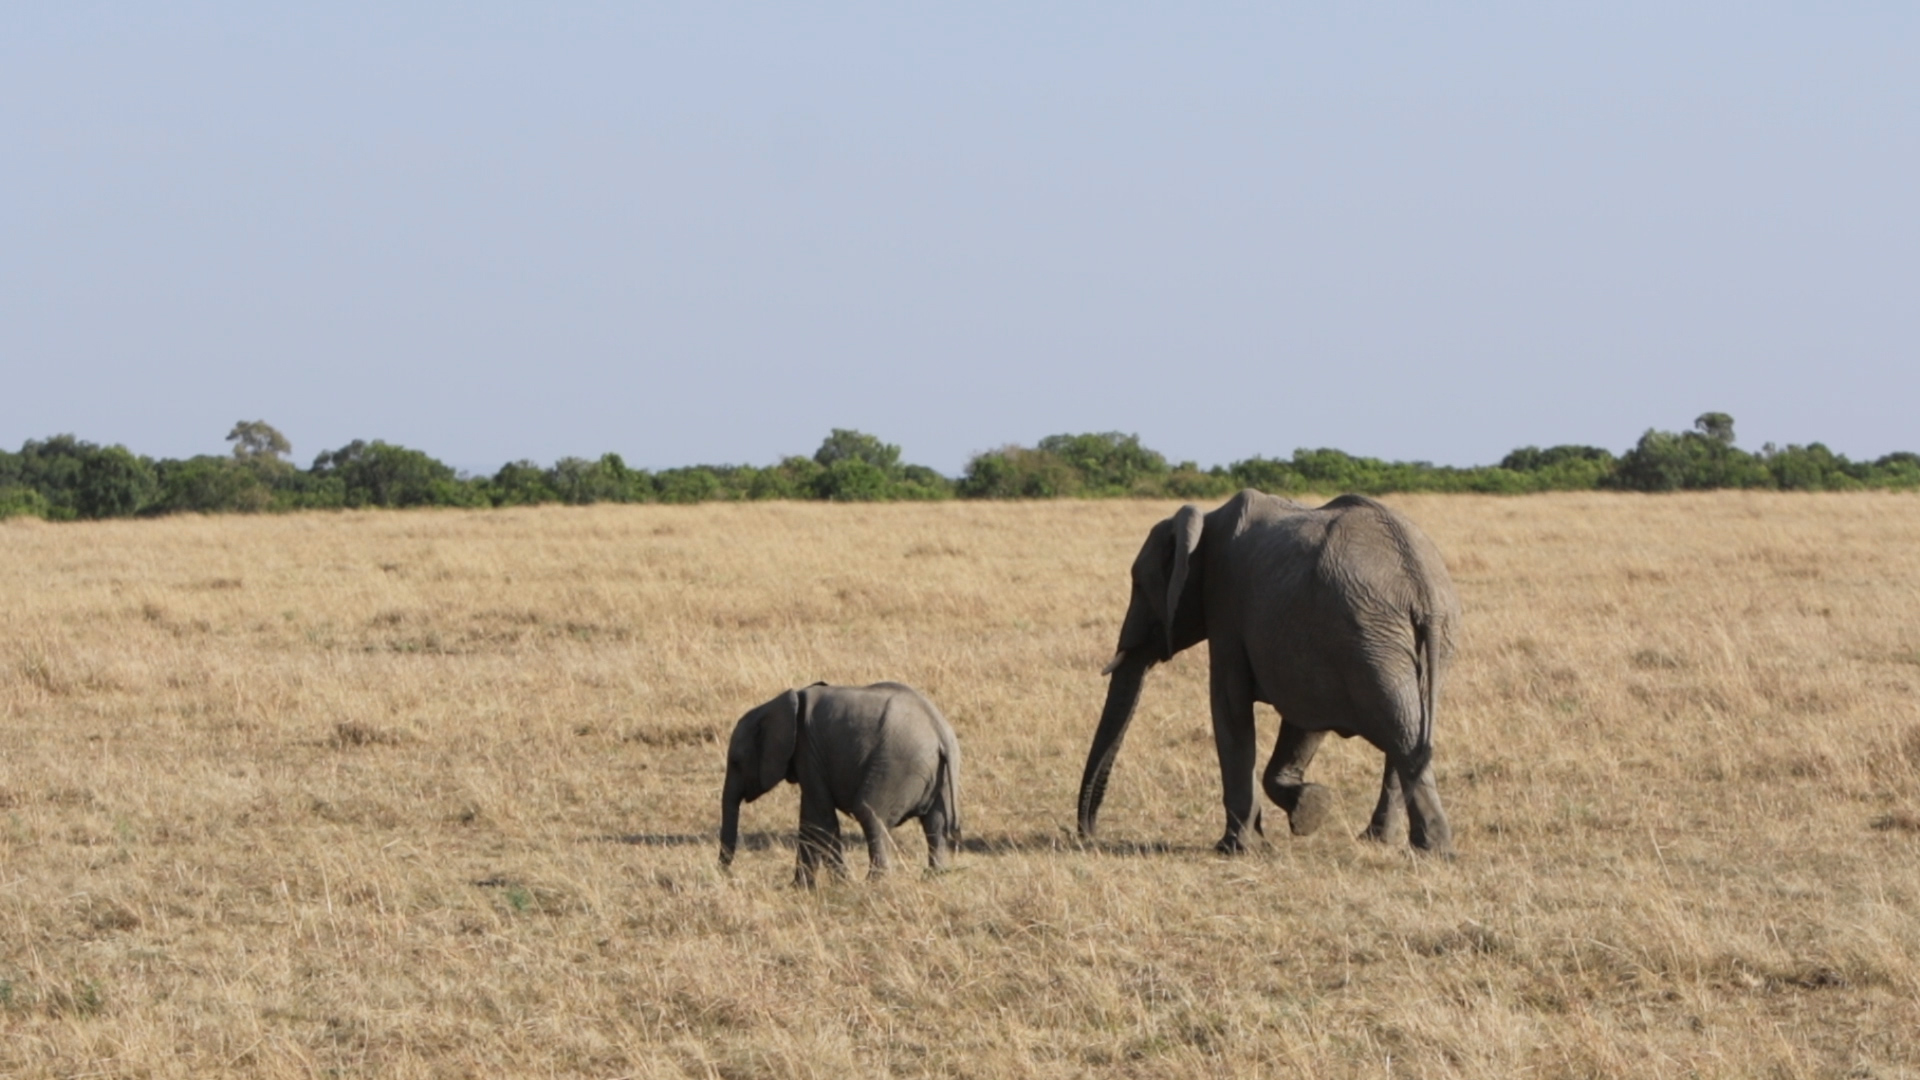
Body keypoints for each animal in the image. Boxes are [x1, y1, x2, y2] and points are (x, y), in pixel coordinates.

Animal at [718, 680, 960, 883]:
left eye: (736, 762)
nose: (728, 874)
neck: (779, 706)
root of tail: (940, 731)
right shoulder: (809, 757)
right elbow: (809, 821)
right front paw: (800, 888)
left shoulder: (808, 752)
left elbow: (822, 820)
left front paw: (842, 884)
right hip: (939, 777)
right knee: (935, 824)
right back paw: (935, 878)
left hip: (897, 764)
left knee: (869, 813)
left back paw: (874, 883)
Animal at [1075, 491, 1459, 853]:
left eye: (1138, 585)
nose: (1088, 835)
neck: (1206, 523)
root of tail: (1423, 591)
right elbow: (1304, 722)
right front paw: (1310, 810)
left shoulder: (1227, 604)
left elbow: (1230, 705)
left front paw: (1237, 848)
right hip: (1394, 640)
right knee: (1408, 727)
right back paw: (1389, 841)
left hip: (1368, 635)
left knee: (1400, 731)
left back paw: (1427, 849)